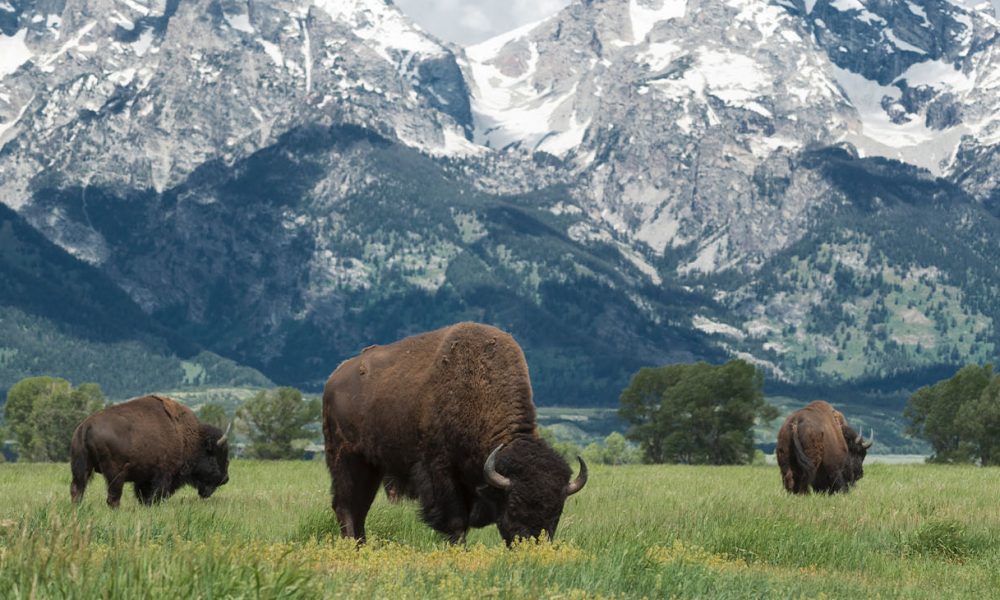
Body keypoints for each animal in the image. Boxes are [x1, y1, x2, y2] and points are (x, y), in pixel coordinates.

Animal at [70, 395, 231, 507]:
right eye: (216, 455)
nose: (225, 479)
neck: (189, 438)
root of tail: (86, 426)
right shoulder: (163, 475)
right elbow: (156, 494)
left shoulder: (145, 478)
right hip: (115, 473)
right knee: (113, 497)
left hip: (81, 467)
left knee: (77, 490)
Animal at [322, 322, 587, 545]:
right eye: (514, 505)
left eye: (557, 511)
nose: (531, 544)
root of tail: (334, 378)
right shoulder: (441, 473)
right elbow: (456, 521)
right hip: (347, 459)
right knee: (346, 505)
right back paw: (351, 545)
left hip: (372, 466)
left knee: (360, 507)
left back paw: (361, 545)